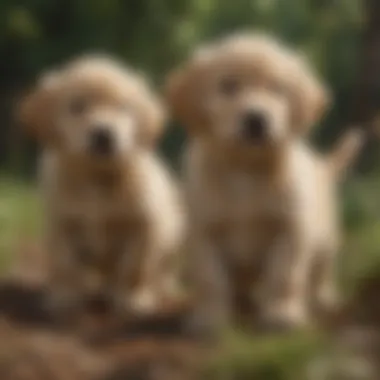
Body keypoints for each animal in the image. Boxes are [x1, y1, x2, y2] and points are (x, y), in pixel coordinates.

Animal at [18, 55, 186, 320]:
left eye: (123, 108)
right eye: (77, 106)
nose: (103, 134)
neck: (96, 178)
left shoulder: (143, 227)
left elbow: (134, 269)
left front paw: (133, 301)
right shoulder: (61, 224)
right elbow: (65, 266)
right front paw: (65, 299)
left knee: (159, 274)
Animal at [166, 31, 362, 330]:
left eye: (277, 89)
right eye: (228, 86)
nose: (256, 119)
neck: (246, 170)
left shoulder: (291, 230)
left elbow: (283, 276)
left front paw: (282, 314)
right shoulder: (202, 232)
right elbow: (210, 279)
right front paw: (209, 317)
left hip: (326, 238)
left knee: (321, 271)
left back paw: (324, 297)